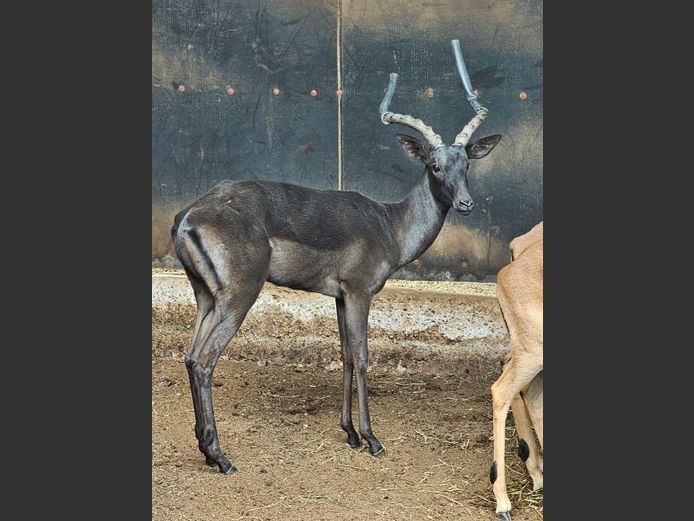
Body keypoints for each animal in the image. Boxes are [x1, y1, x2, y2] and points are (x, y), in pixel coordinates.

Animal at [170, 41, 501, 474]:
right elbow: (361, 356)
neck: (390, 224)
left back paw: (206, 450)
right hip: (239, 296)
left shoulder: (340, 297)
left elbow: (343, 354)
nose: (465, 203)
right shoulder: (360, 292)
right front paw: (372, 438)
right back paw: (222, 457)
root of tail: (188, 216)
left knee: (190, 356)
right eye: (434, 165)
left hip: (205, 297)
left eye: (467, 165)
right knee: (205, 360)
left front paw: (349, 434)